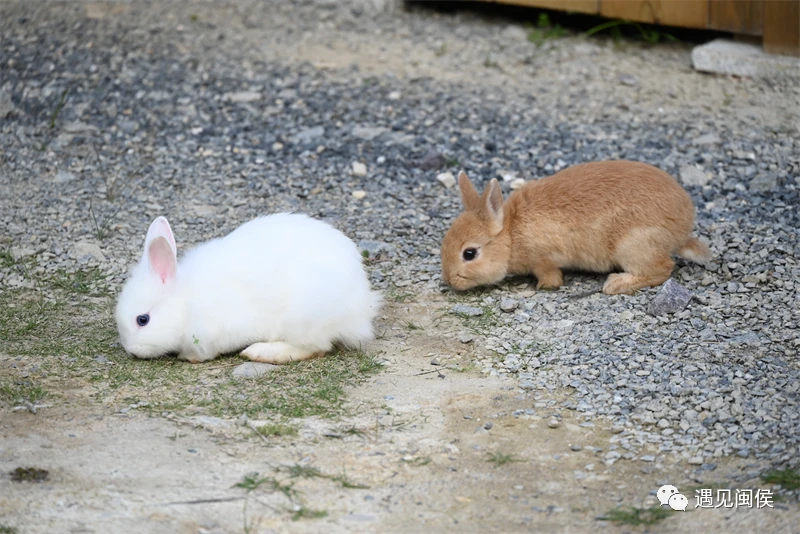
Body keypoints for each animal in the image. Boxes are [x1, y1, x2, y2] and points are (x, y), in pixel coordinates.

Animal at [113, 216, 384, 366]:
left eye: (142, 320)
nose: (131, 350)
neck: (185, 302)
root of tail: (361, 310)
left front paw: (187, 357)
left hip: (303, 319)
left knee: (316, 347)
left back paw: (261, 352)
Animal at [440, 161, 708, 296]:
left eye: (469, 254)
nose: (450, 282)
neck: (511, 235)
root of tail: (681, 229)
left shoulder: (544, 259)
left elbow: (550, 276)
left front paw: (544, 286)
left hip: (633, 245)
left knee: (662, 268)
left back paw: (615, 284)